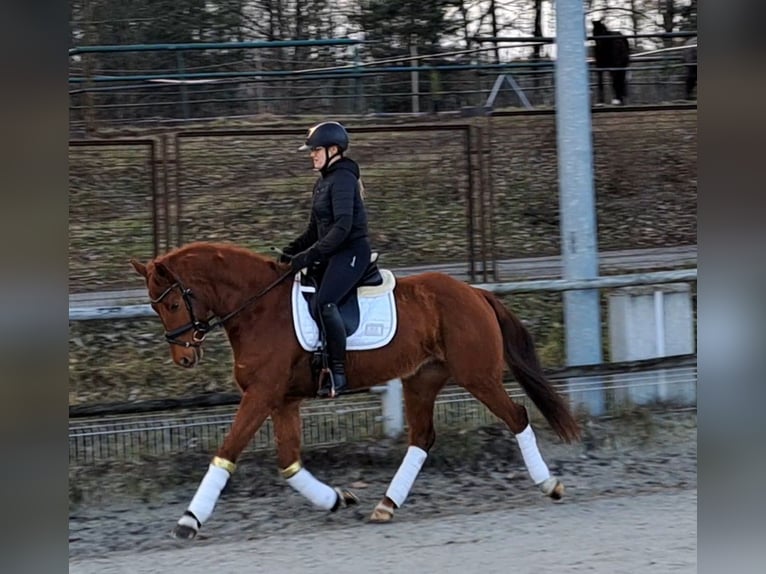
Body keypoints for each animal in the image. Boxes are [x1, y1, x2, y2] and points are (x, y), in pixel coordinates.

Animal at [130, 241, 584, 544]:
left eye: (171, 304)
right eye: (154, 306)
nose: (184, 358)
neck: (258, 309)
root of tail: (473, 292)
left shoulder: (261, 395)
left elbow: (226, 451)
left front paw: (189, 520)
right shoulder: (283, 399)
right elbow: (288, 462)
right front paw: (336, 498)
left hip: (478, 376)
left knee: (517, 417)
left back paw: (550, 485)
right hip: (422, 380)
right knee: (422, 438)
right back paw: (386, 505)